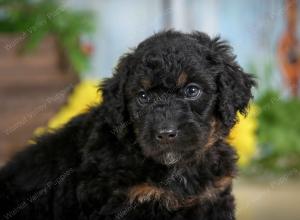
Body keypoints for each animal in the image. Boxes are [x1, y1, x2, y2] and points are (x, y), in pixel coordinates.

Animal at [0, 31, 255, 220]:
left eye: (192, 90)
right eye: (142, 97)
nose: (166, 133)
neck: (178, 169)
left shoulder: (213, 197)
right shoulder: (126, 202)